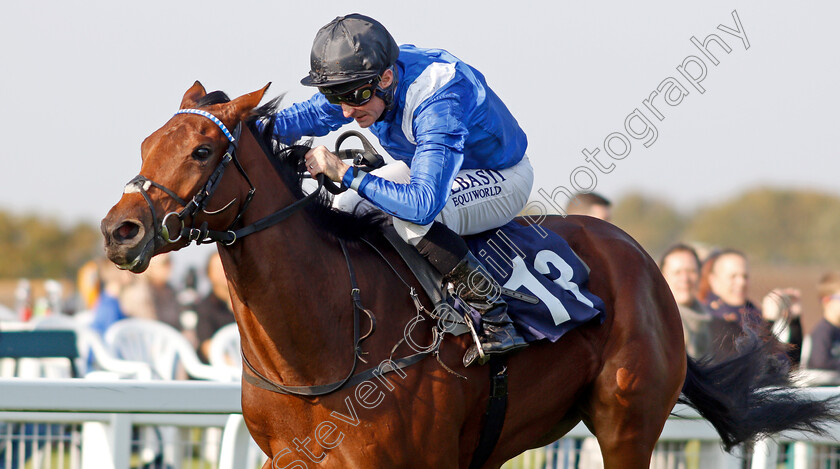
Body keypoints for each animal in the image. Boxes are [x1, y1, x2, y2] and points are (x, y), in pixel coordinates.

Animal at [101, 82, 836, 466]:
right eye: (146, 145)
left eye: (201, 151)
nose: (119, 230)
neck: (327, 336)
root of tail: (640, 259)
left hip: (628, 422)